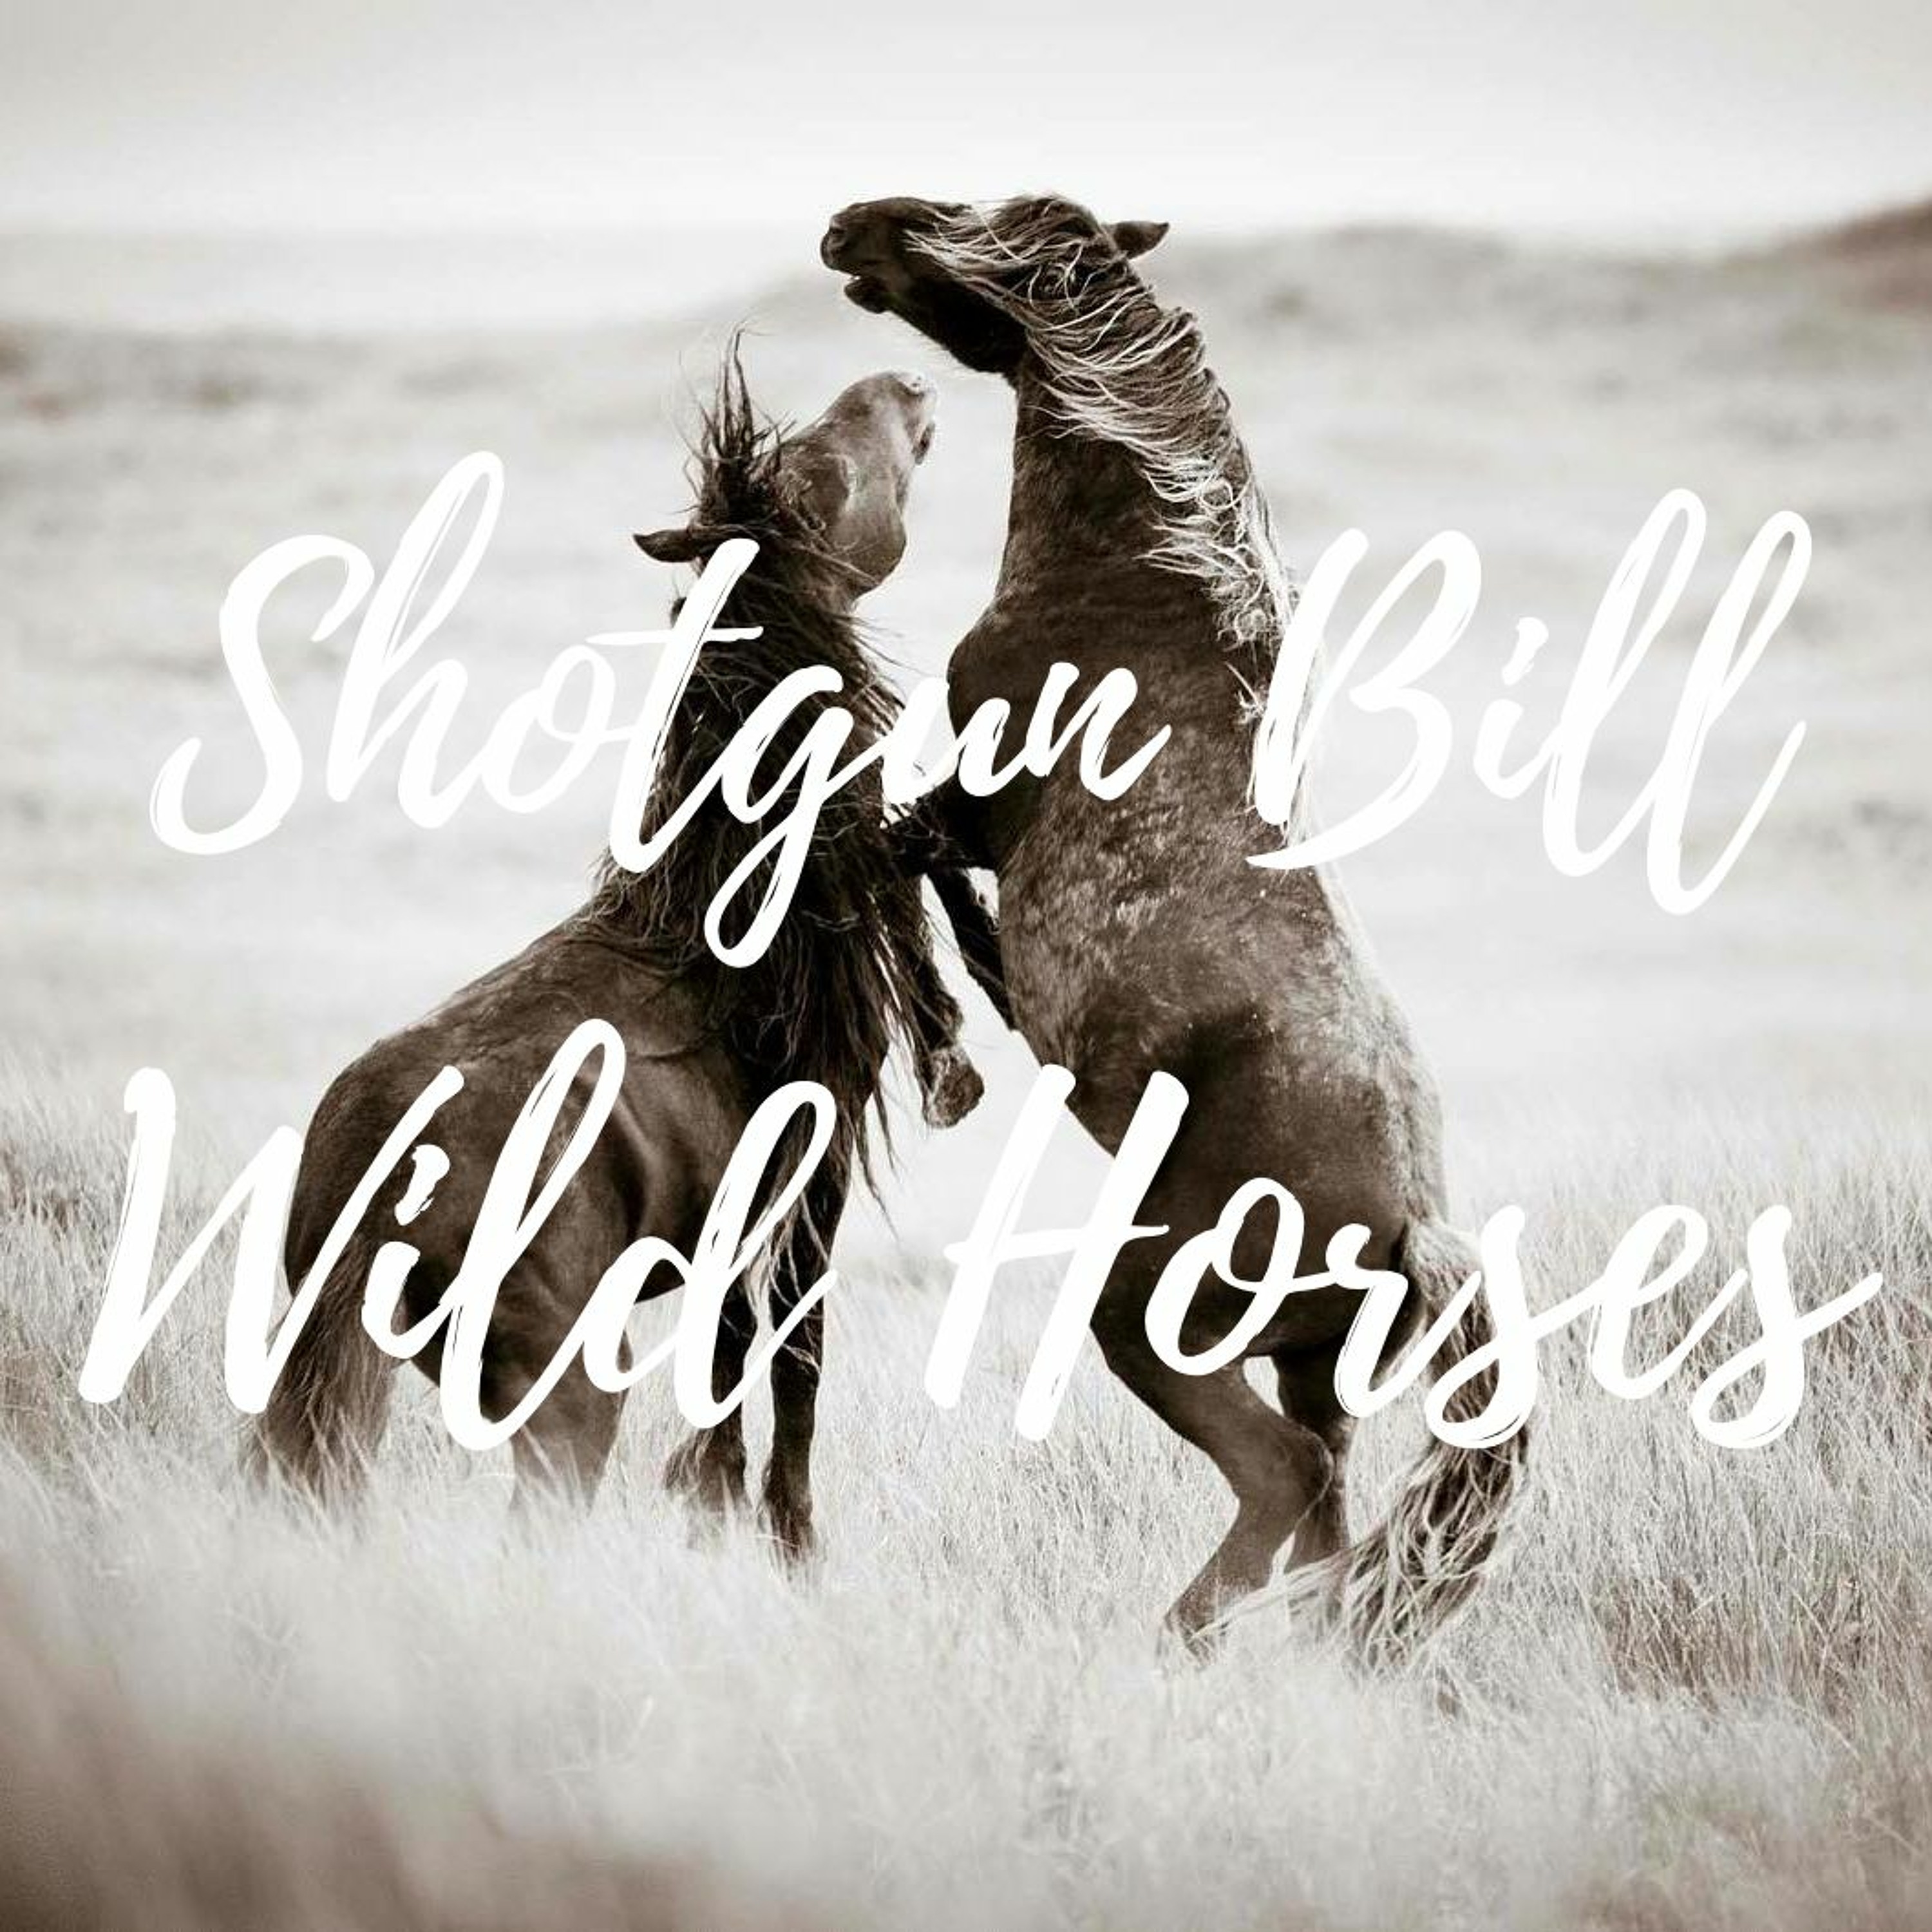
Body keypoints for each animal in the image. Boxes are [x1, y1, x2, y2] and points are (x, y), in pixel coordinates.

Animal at [253, 355, 1002, 1556]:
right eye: (824, 469)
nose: (908, 382)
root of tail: (365, 1190)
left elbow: (726, 1365)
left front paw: (715, 1515)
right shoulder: (814, 1182)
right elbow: (792, 1372)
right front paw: (791, 1546)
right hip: (563, 1387)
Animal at [821, 194, 1527, 1660]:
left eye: (965, 216)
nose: (851, 224)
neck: (1146, 587)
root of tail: (1411, 1228)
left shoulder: (966, 801)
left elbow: (906, 858)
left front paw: (967, 1042)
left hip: (1152, 1316)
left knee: (1286, 1479)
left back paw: (1182, 1641)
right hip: (1312, 1366)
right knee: (1328, 1499)